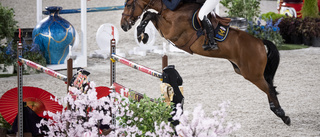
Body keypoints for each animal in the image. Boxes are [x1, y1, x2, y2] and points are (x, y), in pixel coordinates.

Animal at [119, 0, 290, 125]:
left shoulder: (171, 31)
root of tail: (260, 42)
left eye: (129, 5)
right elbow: (149, 14)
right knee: (270, 88)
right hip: (243, 71)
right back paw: (278, 111)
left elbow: (151, 15)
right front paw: (142, 35)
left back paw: (283, 116)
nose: (123, 25)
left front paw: (142, 35)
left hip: (252, 74)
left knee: (269, 89)